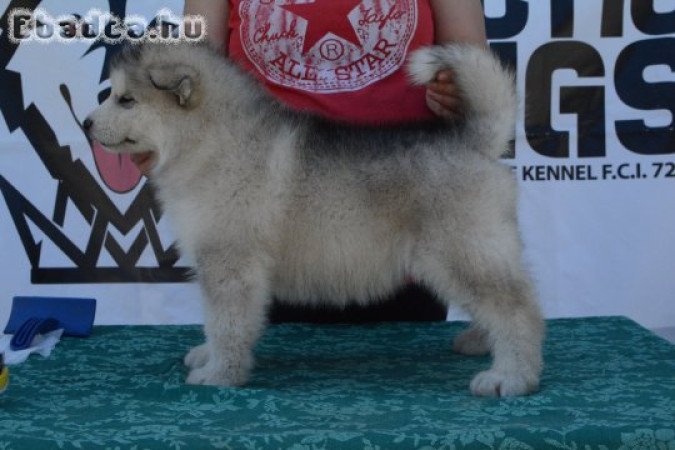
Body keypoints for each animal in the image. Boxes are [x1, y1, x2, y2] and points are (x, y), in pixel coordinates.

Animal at [87, 40, 548, 396]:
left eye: (126, 99)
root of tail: (475, 142)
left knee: (516, 308)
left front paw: (220, 372)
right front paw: (209, 355)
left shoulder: (230, 261)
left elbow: (226, 322)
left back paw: (511, 376)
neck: (212, 141)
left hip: (463, 250)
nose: (87, 124)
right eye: (113, 94)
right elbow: (223, 322)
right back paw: (482, 342)